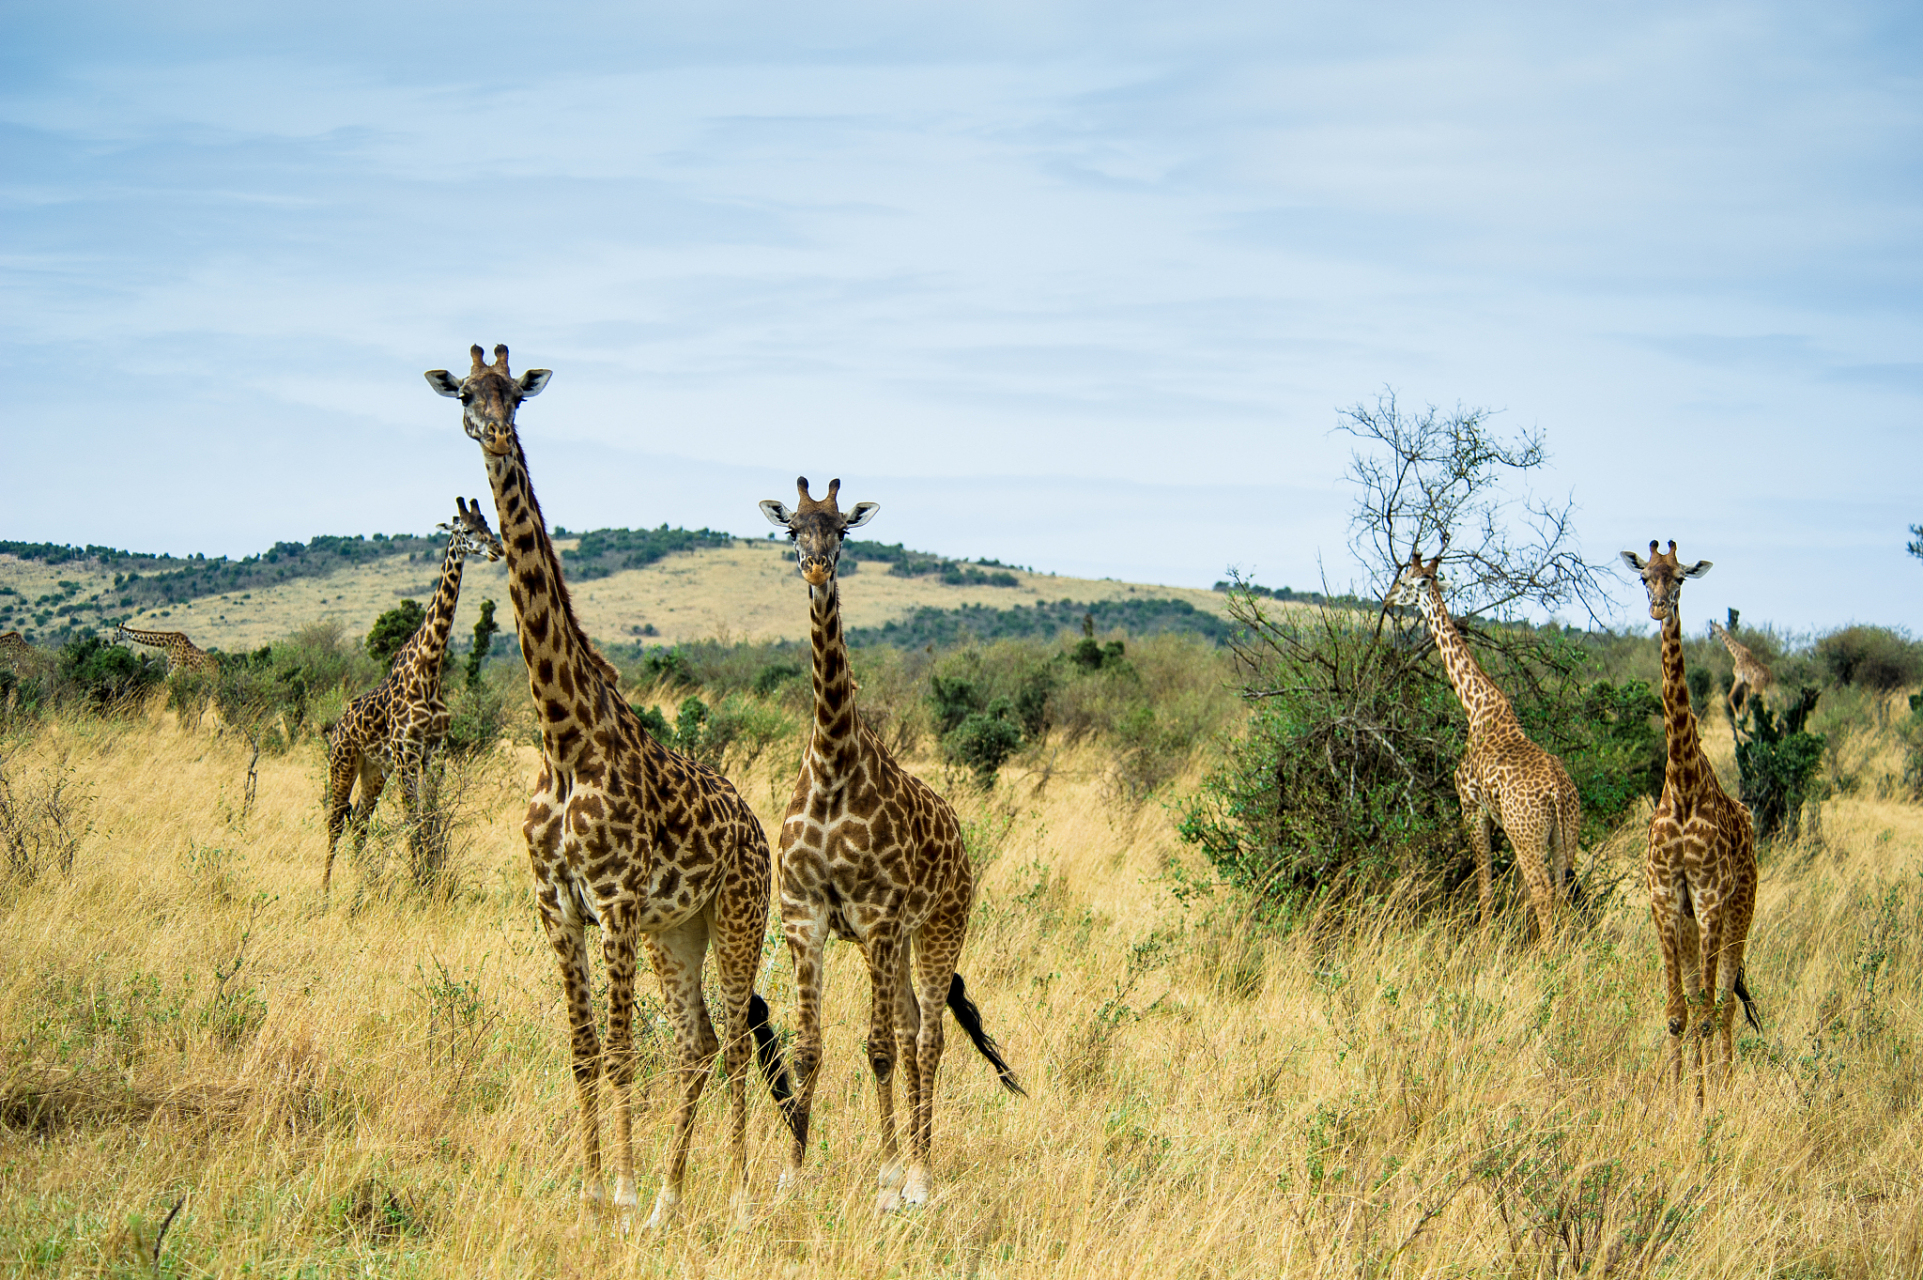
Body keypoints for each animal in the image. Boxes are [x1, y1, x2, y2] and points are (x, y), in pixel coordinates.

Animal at [321, 495, 503, 895]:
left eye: (490, 525)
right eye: (467, 530)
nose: (498, 549)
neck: (429, 672)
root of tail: (338, 725)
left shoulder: (434, 753)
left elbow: (432, 820)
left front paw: (432, 882)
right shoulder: (406, 753)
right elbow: (414, 823)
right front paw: (420, 887)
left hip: (374, 769)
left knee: (359, 824)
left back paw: (365, 886)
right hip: (343, 762)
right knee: (335, 821)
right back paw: (324, 893)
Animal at [430, 344, 796, 1222]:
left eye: (515, 395)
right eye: (463, 394)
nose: (494, 434)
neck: (563, 740)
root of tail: (754, 826)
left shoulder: (616, 905)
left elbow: (625, 1052)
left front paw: (621, 1192)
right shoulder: (557, 909)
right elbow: (583, 1051)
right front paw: (597, 1192)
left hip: (736, 917)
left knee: (734, 1043)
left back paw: (733, 1198)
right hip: (678, 933)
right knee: (698, 1043)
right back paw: (671, 1198)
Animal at [757, 472, 1023, 1214]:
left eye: (844, 528)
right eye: (792, 528)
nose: (816, 567)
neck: (831, 766)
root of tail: (961, 841)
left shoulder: (875, 918)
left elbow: (873, 1047)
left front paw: (883, 1180)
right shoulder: (804, 916)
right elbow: (809, 1048)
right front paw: (792, 1175)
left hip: (939, 927)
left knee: (926, 1037)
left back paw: (919, 1177)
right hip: (902, 941)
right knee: (909, 1031)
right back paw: (911, 1163)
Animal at [1392, 538, 1584, 937]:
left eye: (1404, 582)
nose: (1387, 598)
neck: (1476, 707)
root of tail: (1559, 792)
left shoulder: (1471, 808)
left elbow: (1484, 886)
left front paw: (1482, 942)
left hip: (1526, 835)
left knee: (1542, 891)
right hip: (1566, 834)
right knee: (1562, 890)